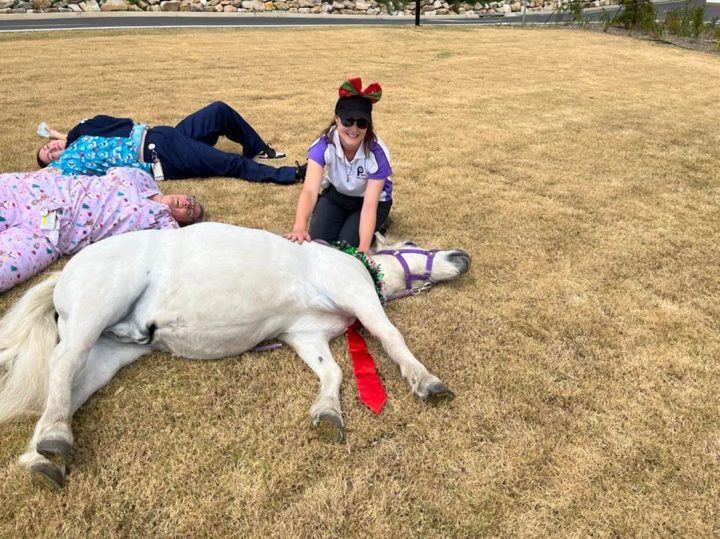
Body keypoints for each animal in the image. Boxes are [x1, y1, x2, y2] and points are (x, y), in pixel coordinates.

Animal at [0, 222, 470, 489]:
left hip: (109, 353)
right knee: (63, 363)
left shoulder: (305, 335)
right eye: (410, 242)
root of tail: (67, 270)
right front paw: (426, 382)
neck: (353, 263)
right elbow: (391, 337)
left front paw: (328, 413)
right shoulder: (357, 294)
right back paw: (54, 441)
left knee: (70, 386)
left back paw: (43, 455)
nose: (461, 256)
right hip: (95, 312)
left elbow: (331, 373)